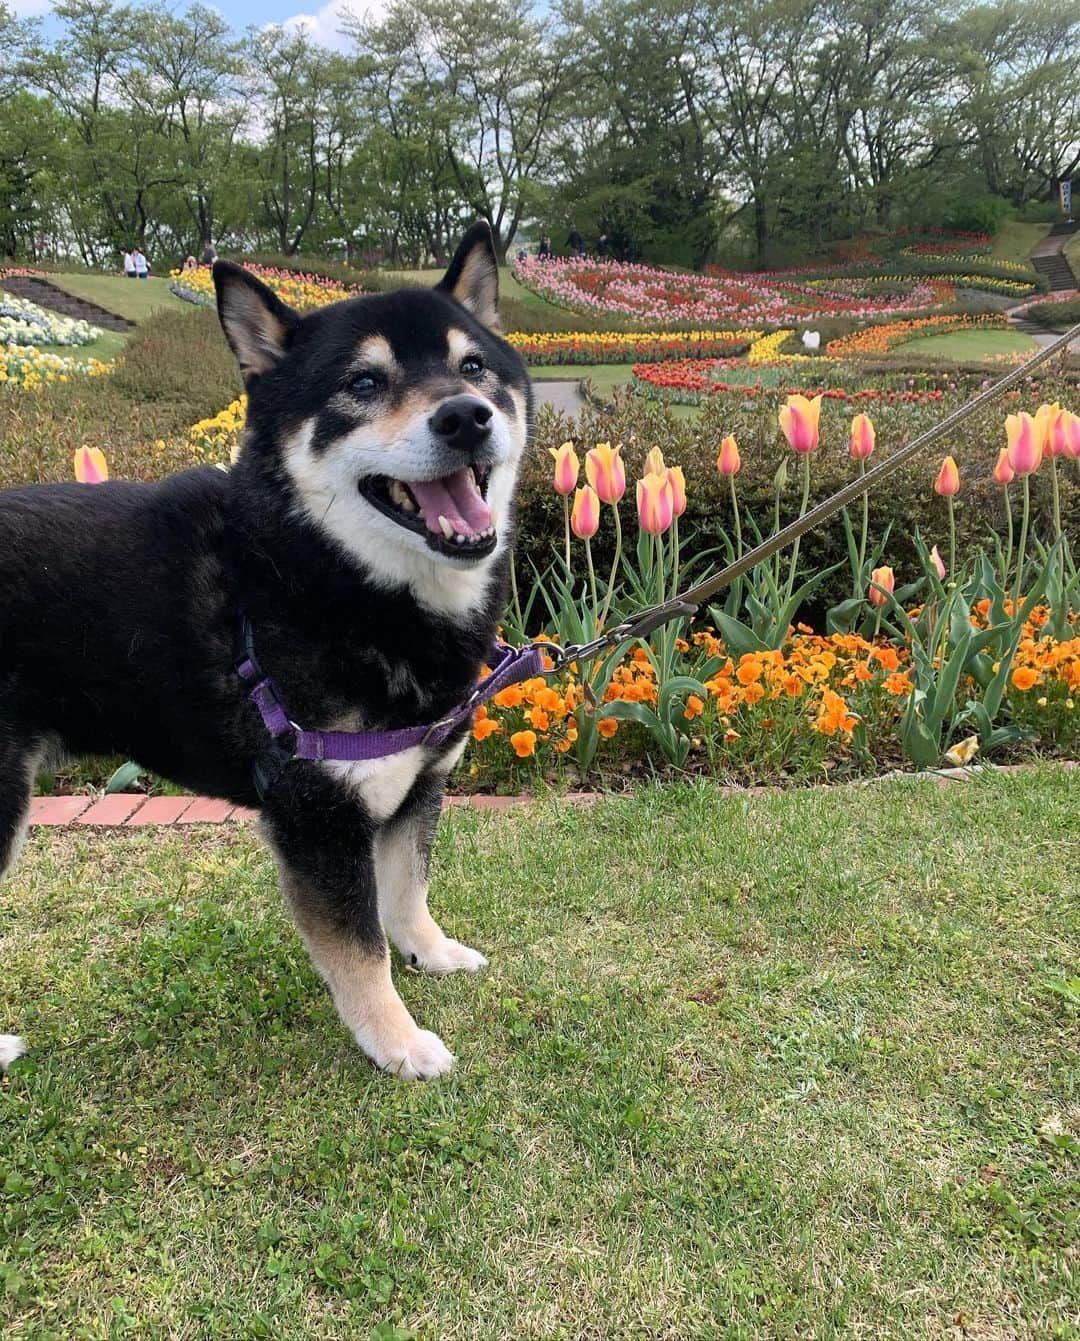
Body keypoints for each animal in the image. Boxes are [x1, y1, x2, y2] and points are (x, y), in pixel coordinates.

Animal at [0, 222, 531, 1078]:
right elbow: (361, 948)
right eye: (362, 382)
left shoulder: (419, 780)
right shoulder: (316, 813)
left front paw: (432, 951)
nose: (466, 416)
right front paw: (399, 1042)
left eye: (473, 366)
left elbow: (408, 888)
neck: (326, 579)